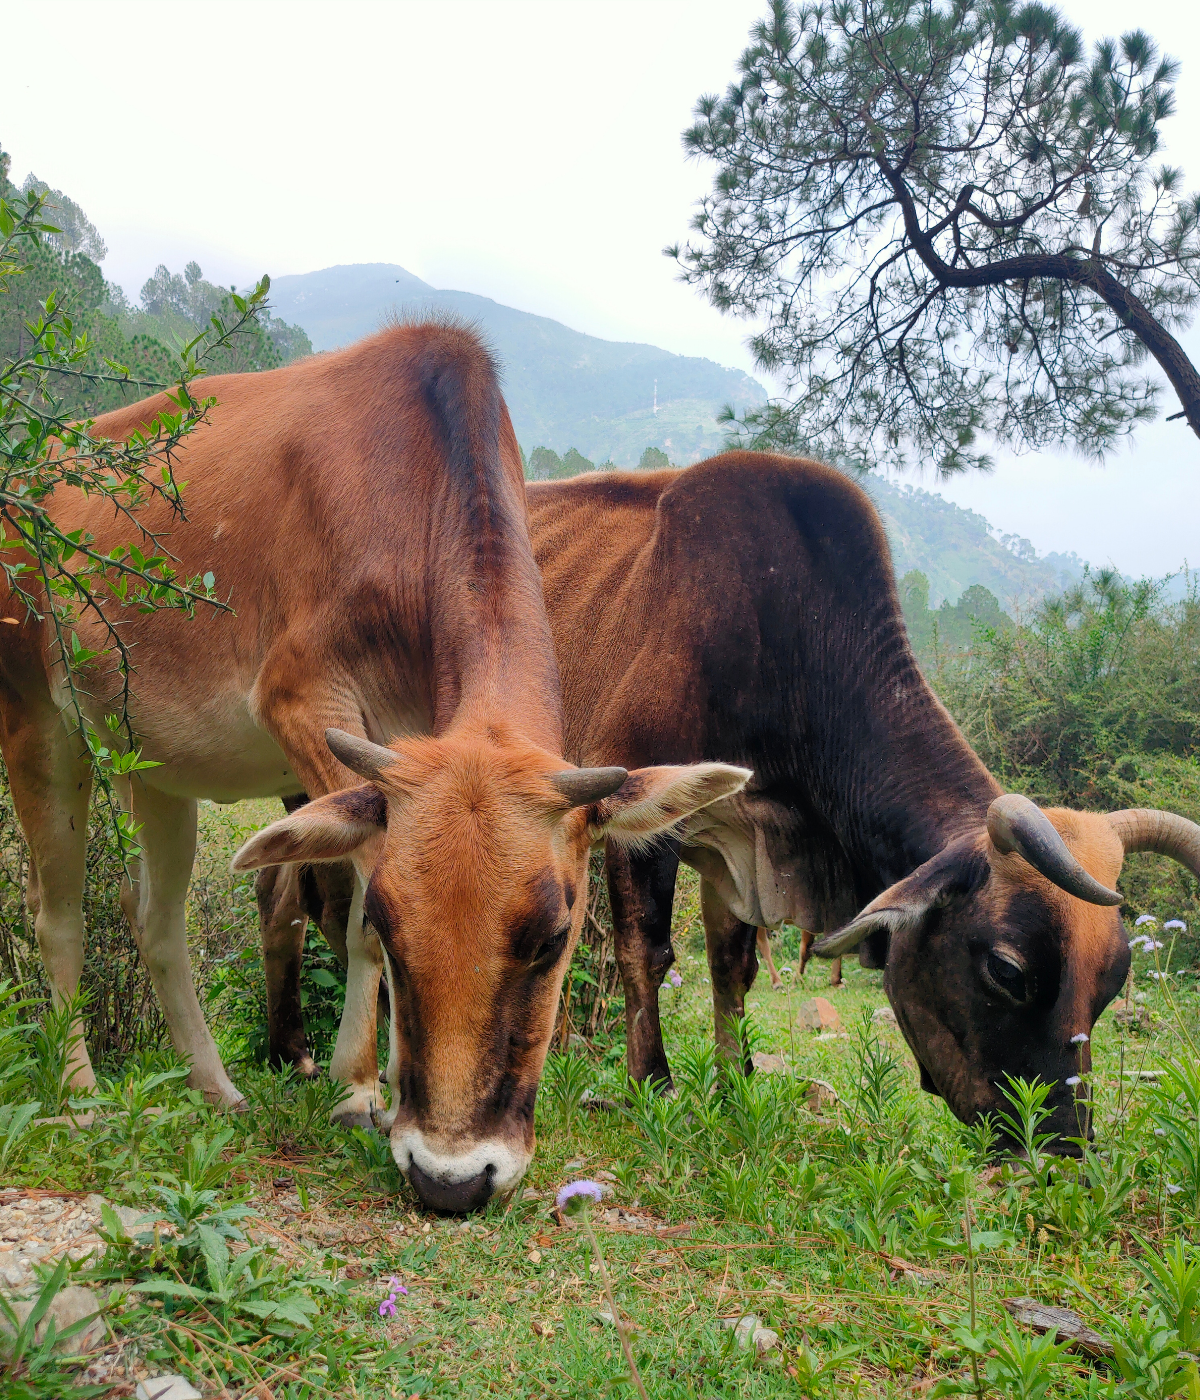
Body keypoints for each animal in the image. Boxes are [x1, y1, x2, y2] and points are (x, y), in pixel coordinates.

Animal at [0, 327, 744, 1215]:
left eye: (553, 936)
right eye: (396, 928)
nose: (451, 1179)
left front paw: (379, 1087)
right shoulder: (301, 701)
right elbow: (350, 903)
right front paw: (356, 1087)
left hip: (154, 771)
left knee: (153, 917)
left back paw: (216, 1087)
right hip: (35, 722)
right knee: (59, 914)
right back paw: (80, 1093)